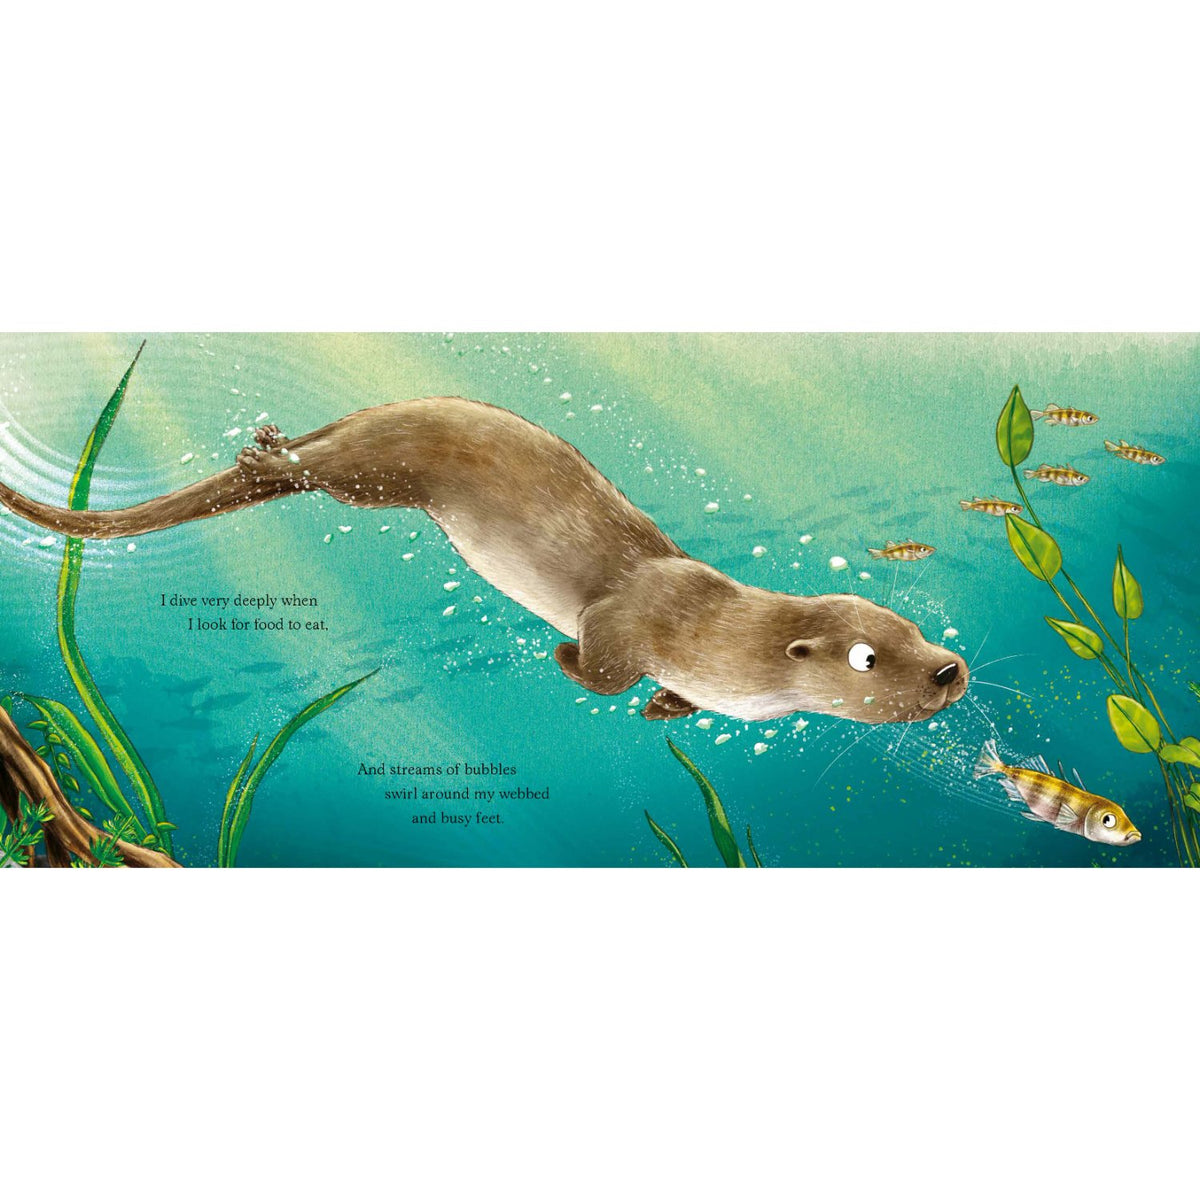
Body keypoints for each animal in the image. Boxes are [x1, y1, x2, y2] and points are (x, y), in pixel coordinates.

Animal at [0, 397, 968, 723]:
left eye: (915, 627)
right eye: (867, 658)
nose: (950, 669)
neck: (724, 638)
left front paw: (665, 708)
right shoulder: (630, 619)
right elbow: (601, 664)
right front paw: (567, 658)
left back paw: (270, 444)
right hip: (380, 471)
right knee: (322, 470)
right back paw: (268, 458)